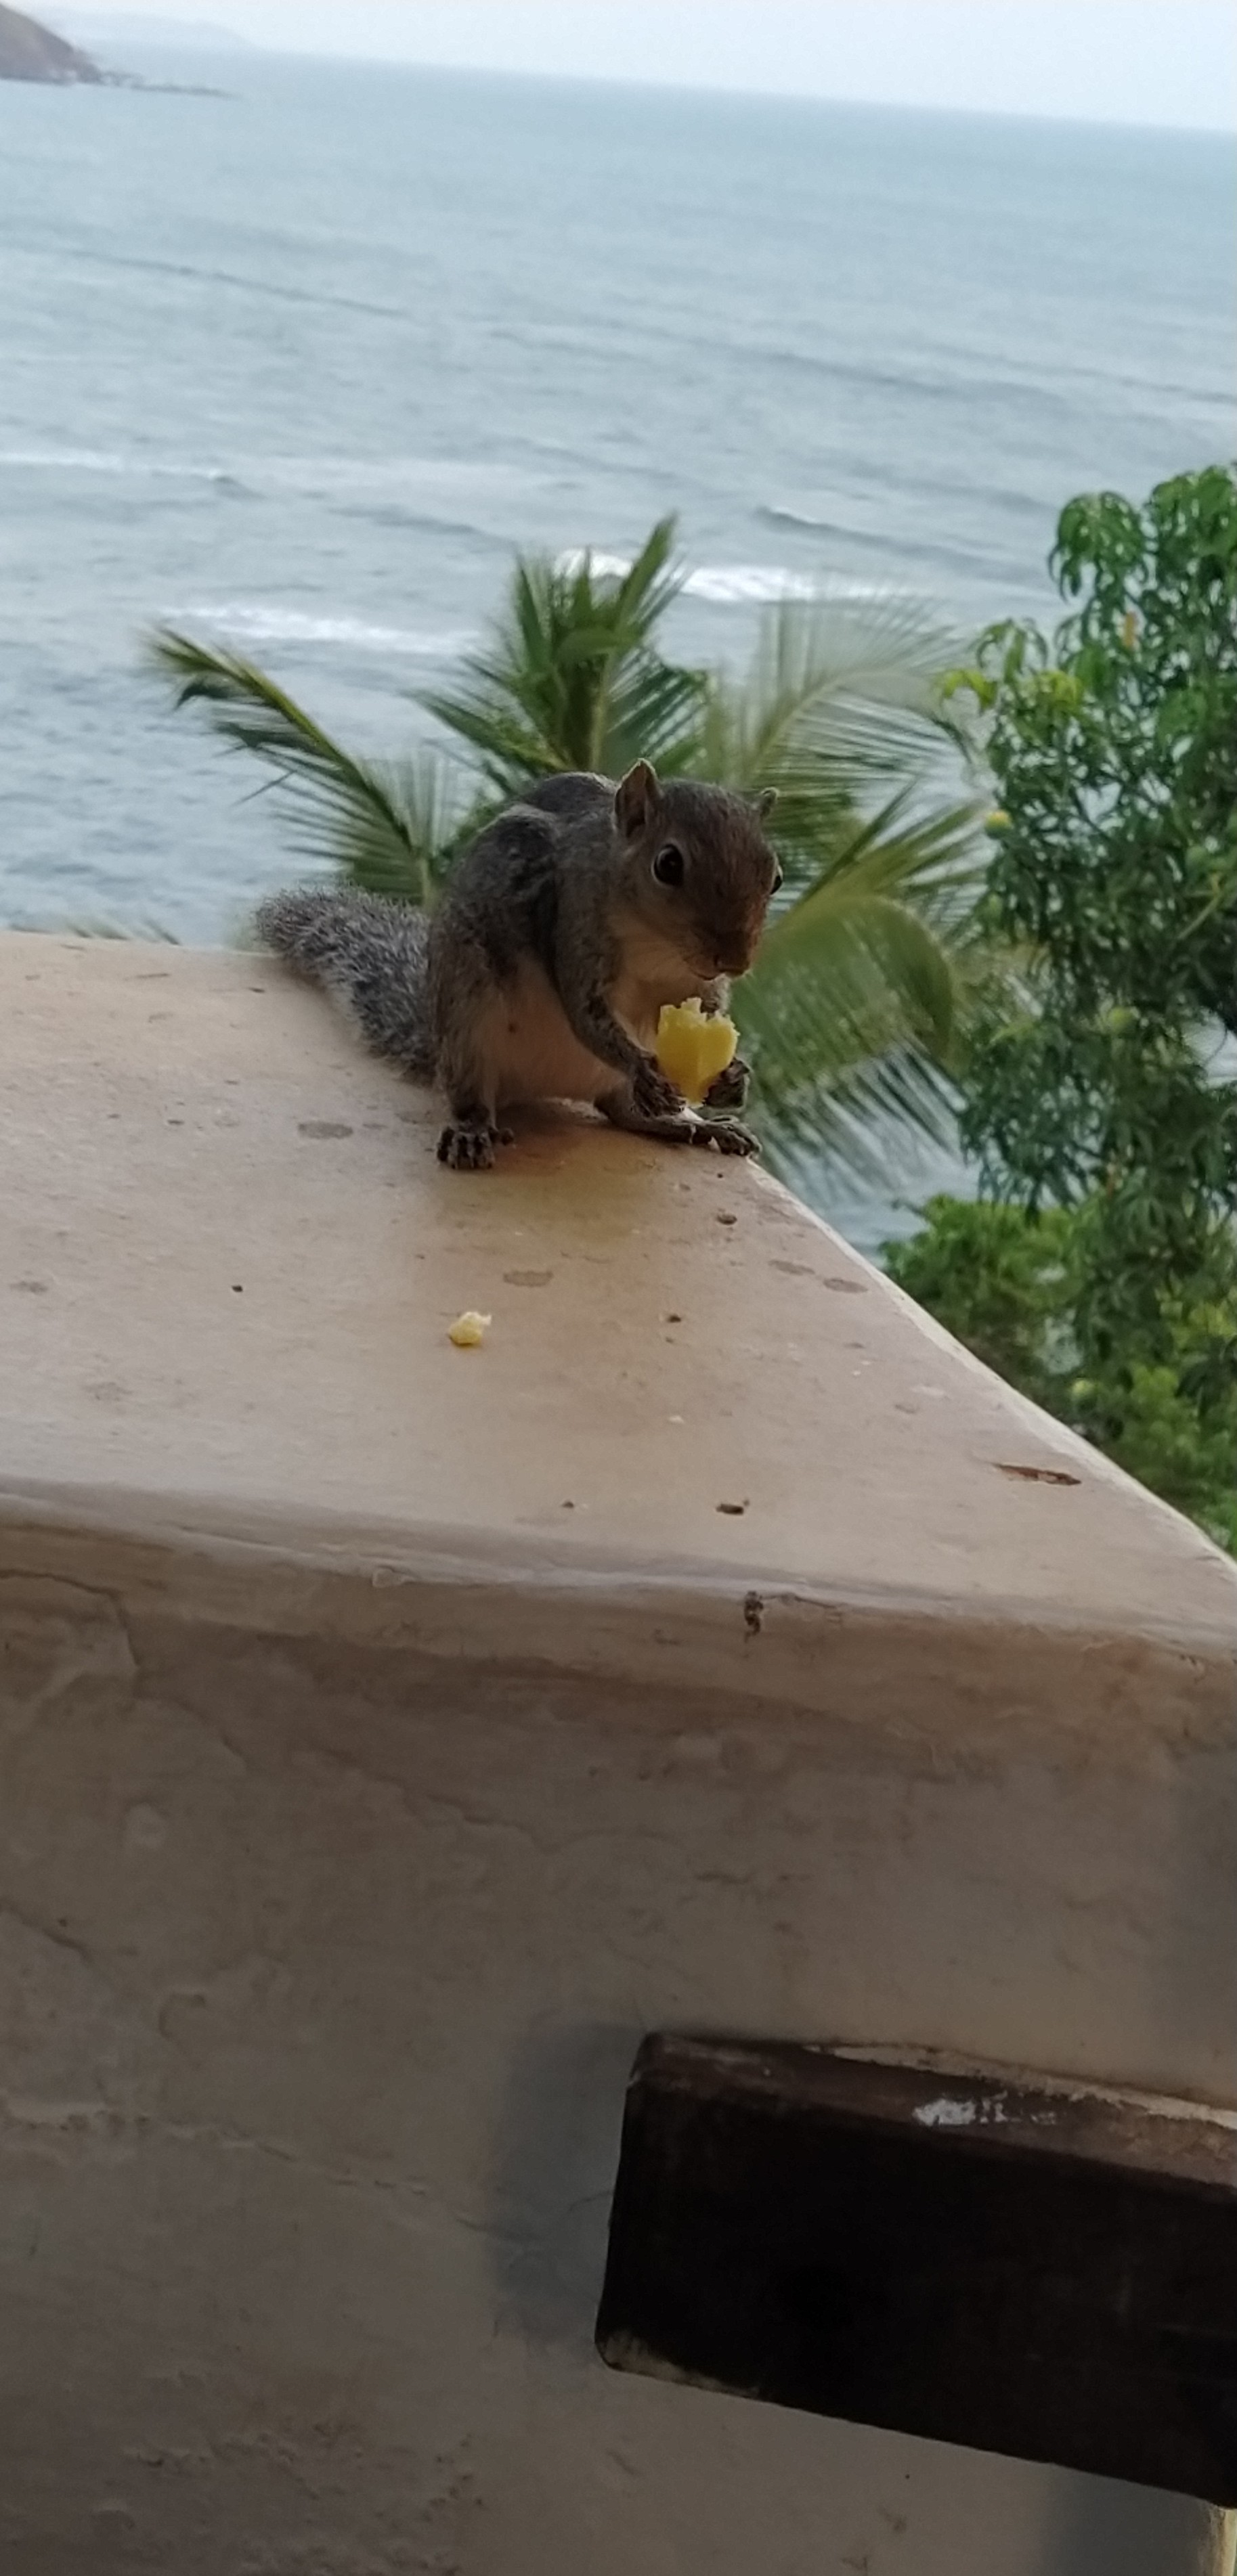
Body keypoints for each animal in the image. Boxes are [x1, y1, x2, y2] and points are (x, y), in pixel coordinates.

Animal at [255, 760, 781, 1170]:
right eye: (668, 864)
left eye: (774, 877)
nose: (734, 960)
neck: (657, 947)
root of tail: (542, 1085)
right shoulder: (573, 931)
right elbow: (586, 1017)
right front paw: (643, 1067)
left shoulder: (696, 985)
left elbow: (708, 1012)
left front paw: (733, 1077)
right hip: (468, 1021)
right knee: (475, 1097)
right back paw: (472, 1131)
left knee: (623, 1113)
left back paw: (694, 1127)